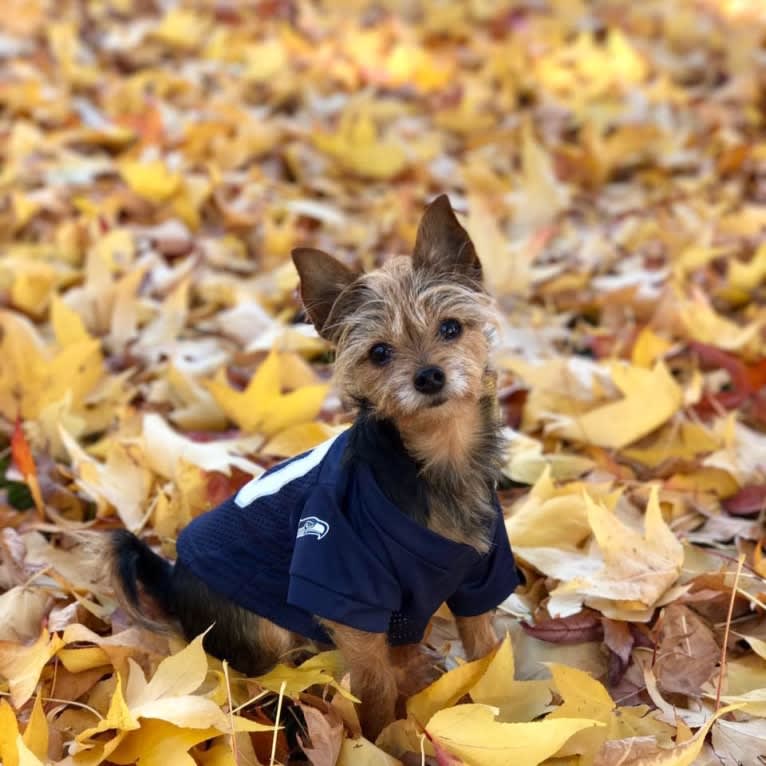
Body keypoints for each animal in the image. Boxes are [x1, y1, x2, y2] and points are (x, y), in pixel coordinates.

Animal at [108, 195, 524, 740]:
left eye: (451, 328)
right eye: (379, 353)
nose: (429, 376)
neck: (438, 458)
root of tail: (173, 577)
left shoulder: (481, 577)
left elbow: (486, 652)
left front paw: (496, 709)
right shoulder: (347, 591)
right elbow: (373, 687)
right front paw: (378, 740)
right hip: (262, 627)